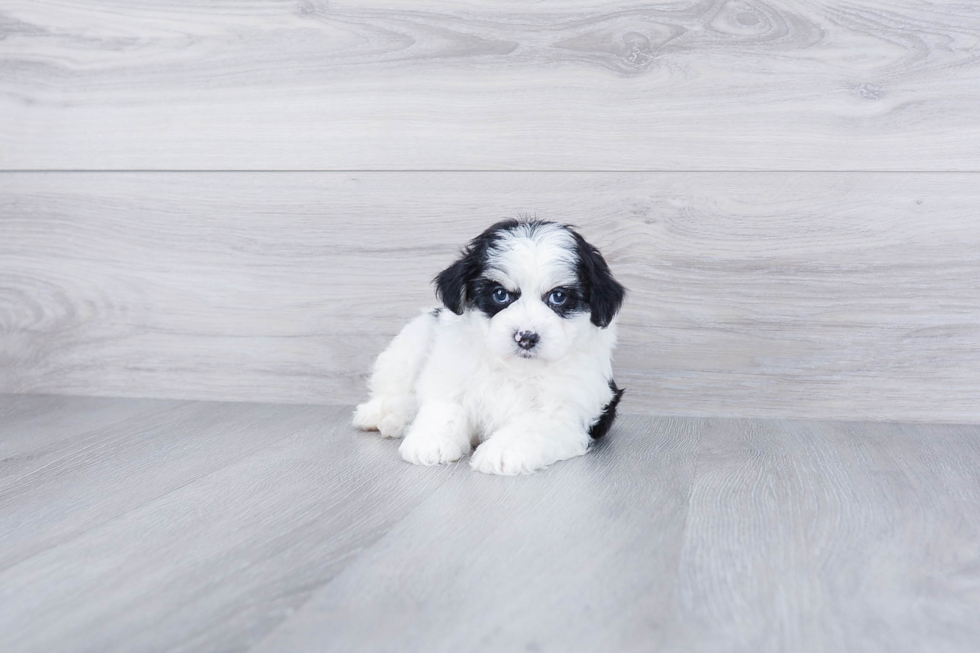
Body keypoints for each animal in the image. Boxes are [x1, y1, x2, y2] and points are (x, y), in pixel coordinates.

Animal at [356, 219, 624, 474]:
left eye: (558, 296)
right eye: (500, 294)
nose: (526, 337)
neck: (514, 368)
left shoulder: (565, 410)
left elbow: (531, 425)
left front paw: (502, 452)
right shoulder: (450, 373)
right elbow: (445, 407)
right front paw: (430, 440)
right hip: (412, 342)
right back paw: (382, 413)